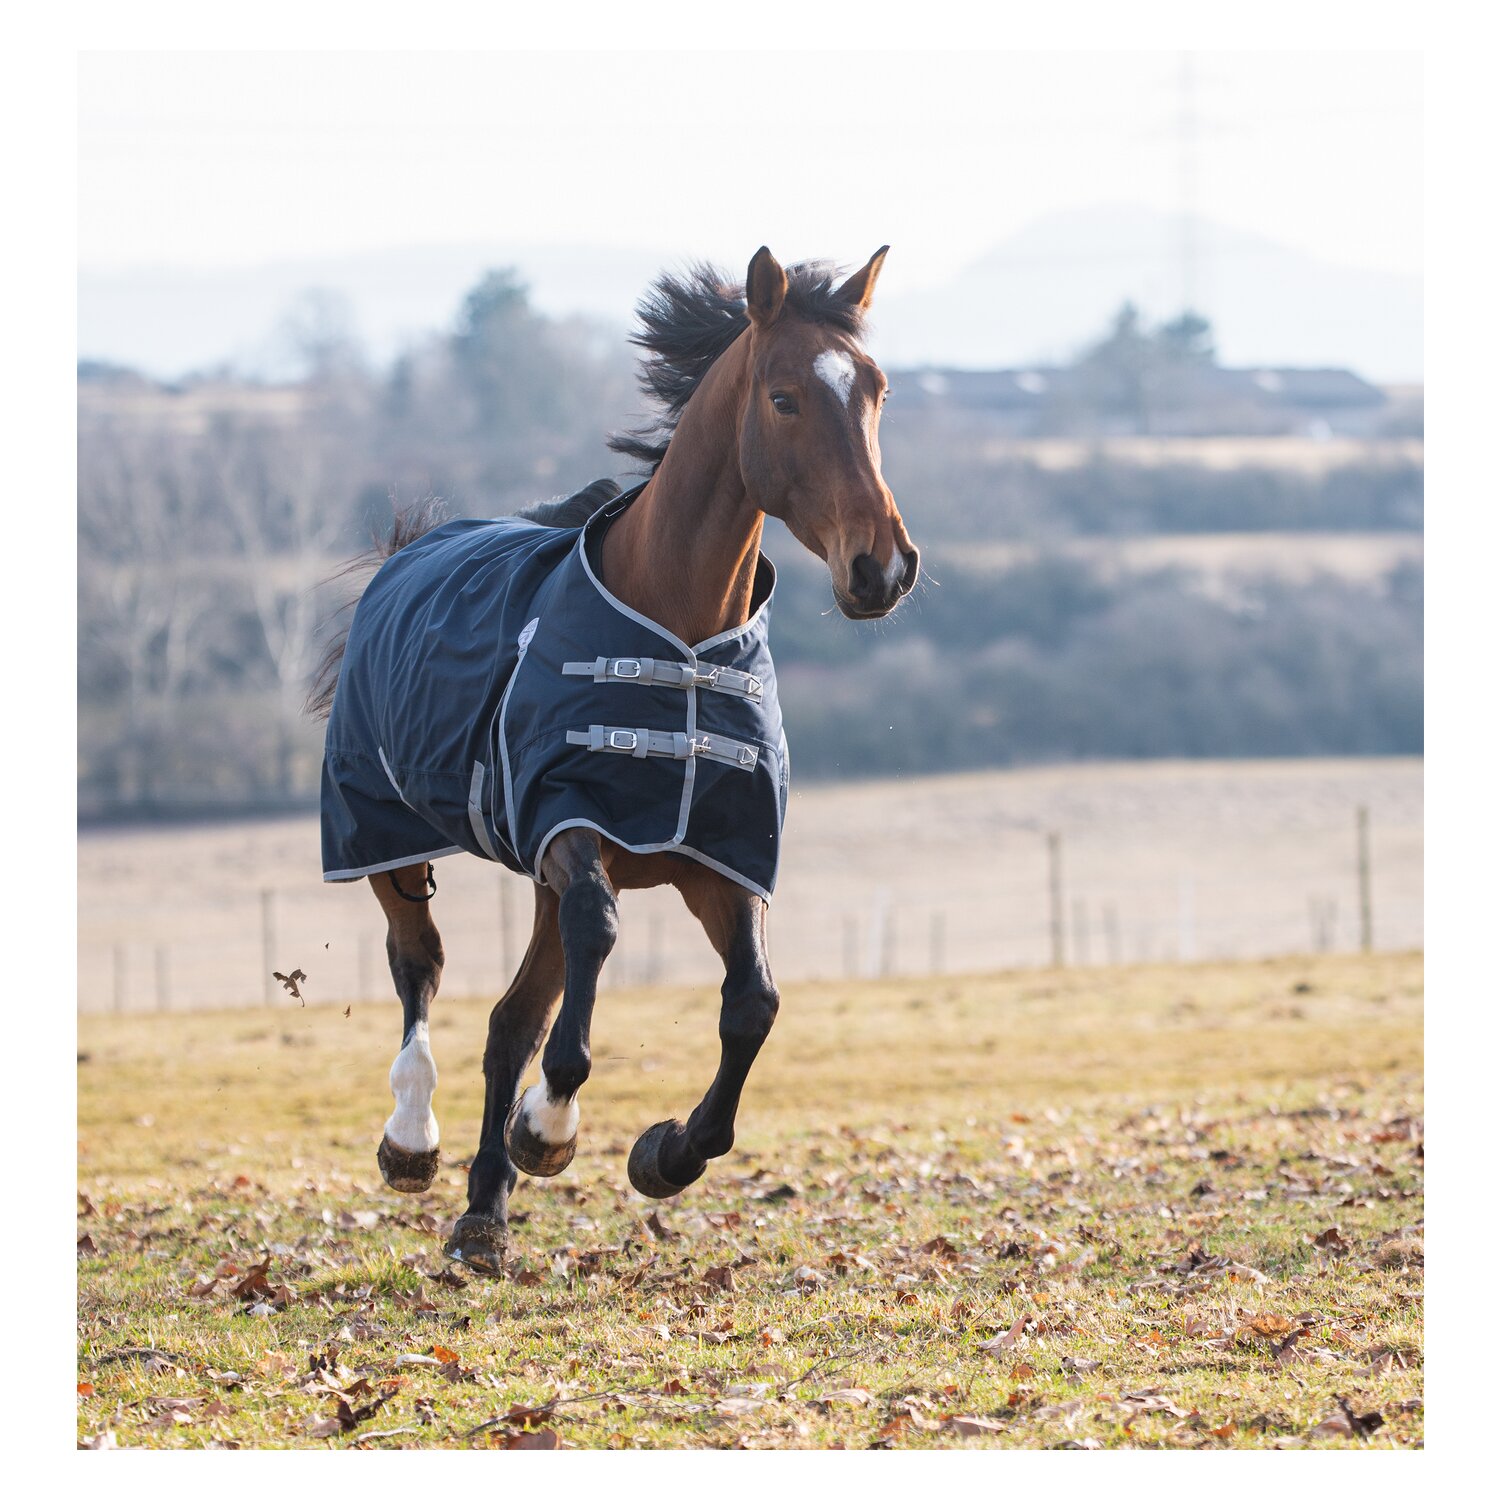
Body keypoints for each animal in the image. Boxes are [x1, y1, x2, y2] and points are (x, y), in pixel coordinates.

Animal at [311, 246, 919, 1274]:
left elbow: (752, 1004)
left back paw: (484, 1213)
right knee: (420, 964)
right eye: (786, 397)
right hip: (382, 832)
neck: (675, 627)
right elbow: (594, 945)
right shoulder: (570, 824)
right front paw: (547, 1127)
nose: (883, 567)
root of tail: (411, 545)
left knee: (510, 1017)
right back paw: (415, 1140)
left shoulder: (719, 857)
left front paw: (667, 1153)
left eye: (874, 389)